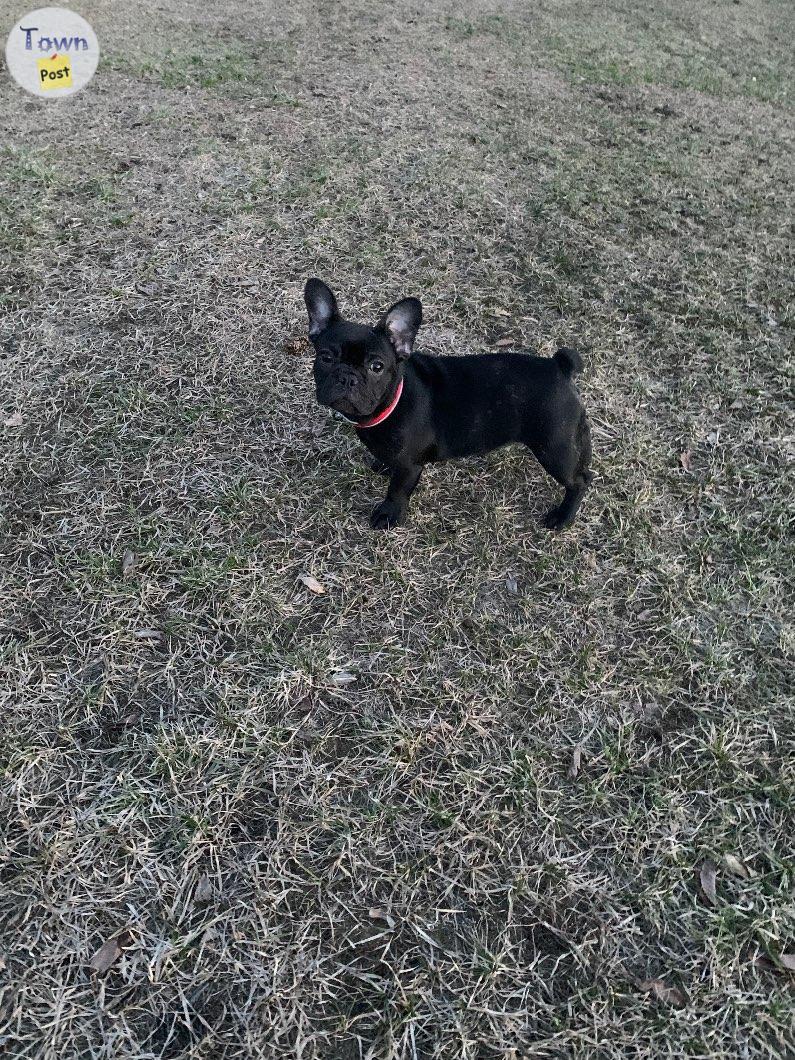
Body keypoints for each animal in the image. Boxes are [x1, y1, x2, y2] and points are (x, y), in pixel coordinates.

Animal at [305, 279, 593, 530]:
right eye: (325, 357)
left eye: (376, 366)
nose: (347, 377)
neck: (393, 399)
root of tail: (559, 367)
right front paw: (383, 465)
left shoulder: (410, 467)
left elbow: (397, 491)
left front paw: (388, 515)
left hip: (554, 447)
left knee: (579, 480)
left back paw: (562, 517)